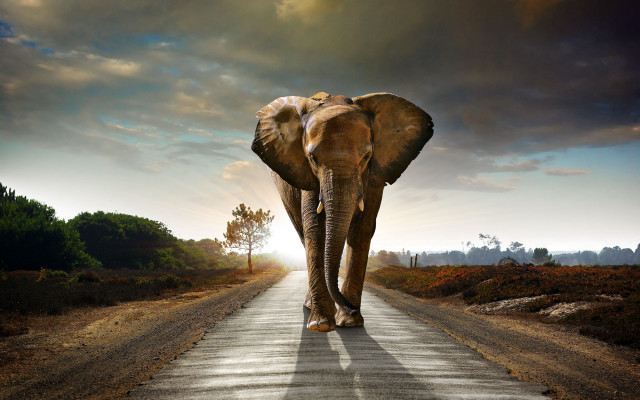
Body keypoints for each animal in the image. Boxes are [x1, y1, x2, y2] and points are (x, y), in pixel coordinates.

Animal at [252, 92, 433, 332]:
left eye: (366, 156)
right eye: (313, 158)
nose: (351, 307)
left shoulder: (374, 175)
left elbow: (362, 229)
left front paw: (349, 323)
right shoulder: (307, 175)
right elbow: (315, 230)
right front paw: (321, 325)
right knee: (303, 233)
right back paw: (311, 307)